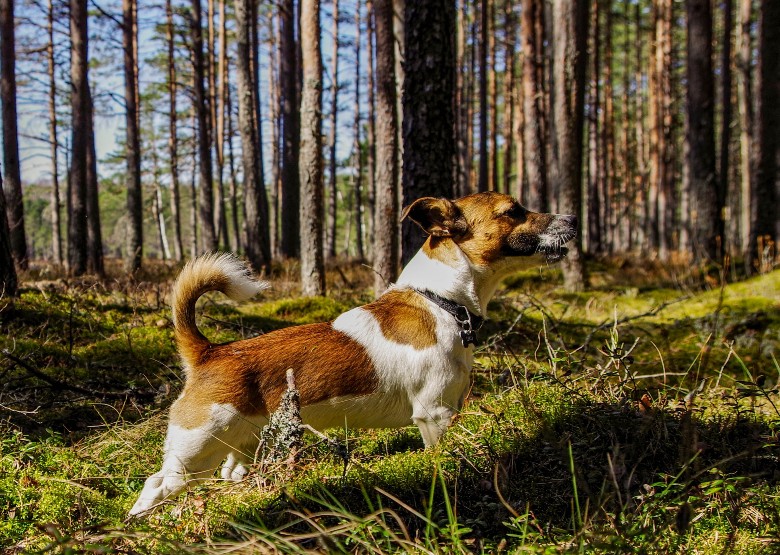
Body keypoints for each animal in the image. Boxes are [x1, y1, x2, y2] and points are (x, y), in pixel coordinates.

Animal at [128, 193, 576, 516]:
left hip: (238, 447)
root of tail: (209, 352)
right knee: (155, 485)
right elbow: (440, 458)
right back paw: (139, 524)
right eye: (514, 211)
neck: (441, 302)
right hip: (195, 452)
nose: (573, 220)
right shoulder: (434, 416)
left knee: (229, 472)